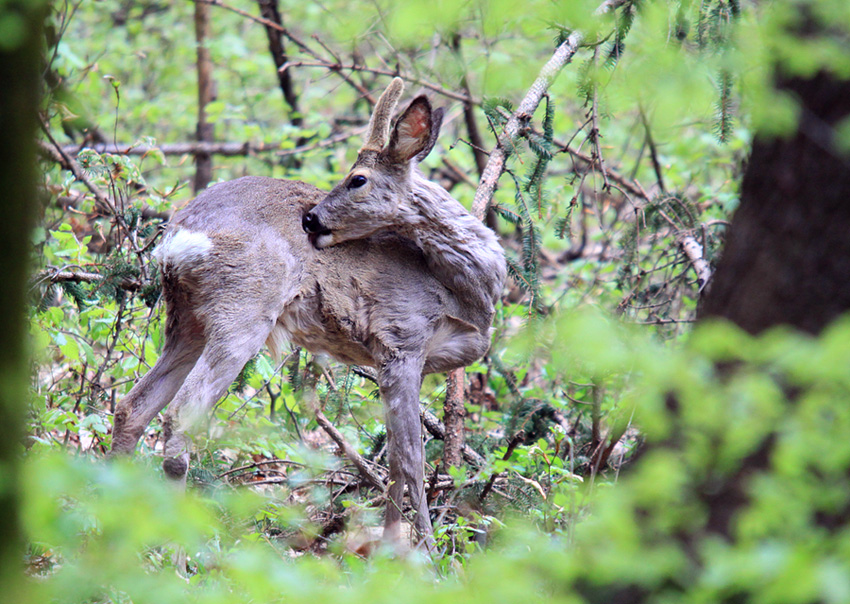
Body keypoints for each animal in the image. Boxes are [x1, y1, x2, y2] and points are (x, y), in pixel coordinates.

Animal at [106, 78, 504, 544]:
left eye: (357, 179)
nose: (311, 219)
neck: (464, 291)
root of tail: (176, 239)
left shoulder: (408, 361)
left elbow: (392, 462)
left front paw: (391, 548)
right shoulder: (400, 341)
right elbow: (411, 460)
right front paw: (426, 550)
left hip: (186, 320)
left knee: (130, 408)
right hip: (243, 311)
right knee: (182, 416)